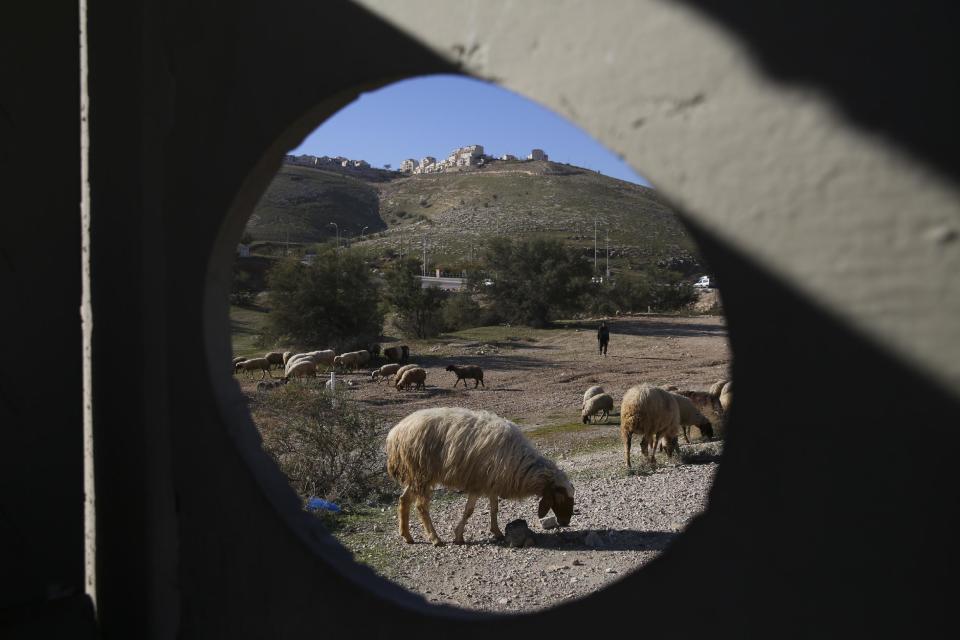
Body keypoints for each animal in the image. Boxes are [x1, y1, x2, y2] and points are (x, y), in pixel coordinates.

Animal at [384, 408, 576, 548]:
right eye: (560, 497)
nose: (566, 522)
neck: (521, 464)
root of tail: (395, 433)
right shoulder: (477, 483)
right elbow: (469, 511)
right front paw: (458, 536)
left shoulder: (492, 482)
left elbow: (494, 508)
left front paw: (497, 531)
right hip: (422, 473)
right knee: (421, 506)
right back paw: (434, 538)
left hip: (415, 475)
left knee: (404, 500)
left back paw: (407, 536)